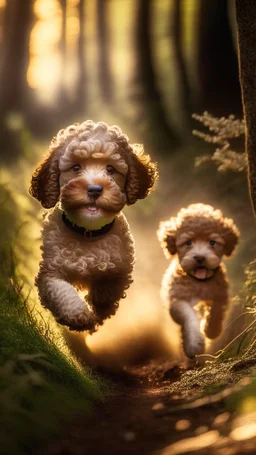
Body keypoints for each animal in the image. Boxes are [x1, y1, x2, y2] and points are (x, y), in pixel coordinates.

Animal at [158, 204, 240, 360]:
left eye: (212, 242)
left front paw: (211, 331)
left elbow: (216, 310)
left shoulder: (220, 293)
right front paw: (194, 345)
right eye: (188, 242)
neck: (199, 282)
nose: (200, 258)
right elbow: (188, 315)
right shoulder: (177, 298)